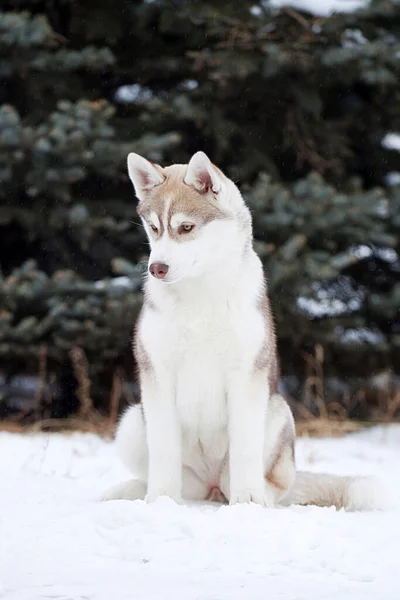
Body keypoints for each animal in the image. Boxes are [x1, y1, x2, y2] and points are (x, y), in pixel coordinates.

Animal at [103, 151, 382, 510]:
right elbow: (164, 451)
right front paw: (161, 500)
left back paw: (259, 495)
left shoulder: (246, 375)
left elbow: (245, 449)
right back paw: (132, 491)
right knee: (180, 483)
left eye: (186, 227)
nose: (156, 268)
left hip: (277, 413)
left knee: (271, 484)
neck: (200, 295)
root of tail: (211, 486)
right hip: (131, 424)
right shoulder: (158, 374)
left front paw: (248, 500)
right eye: (154, 228)